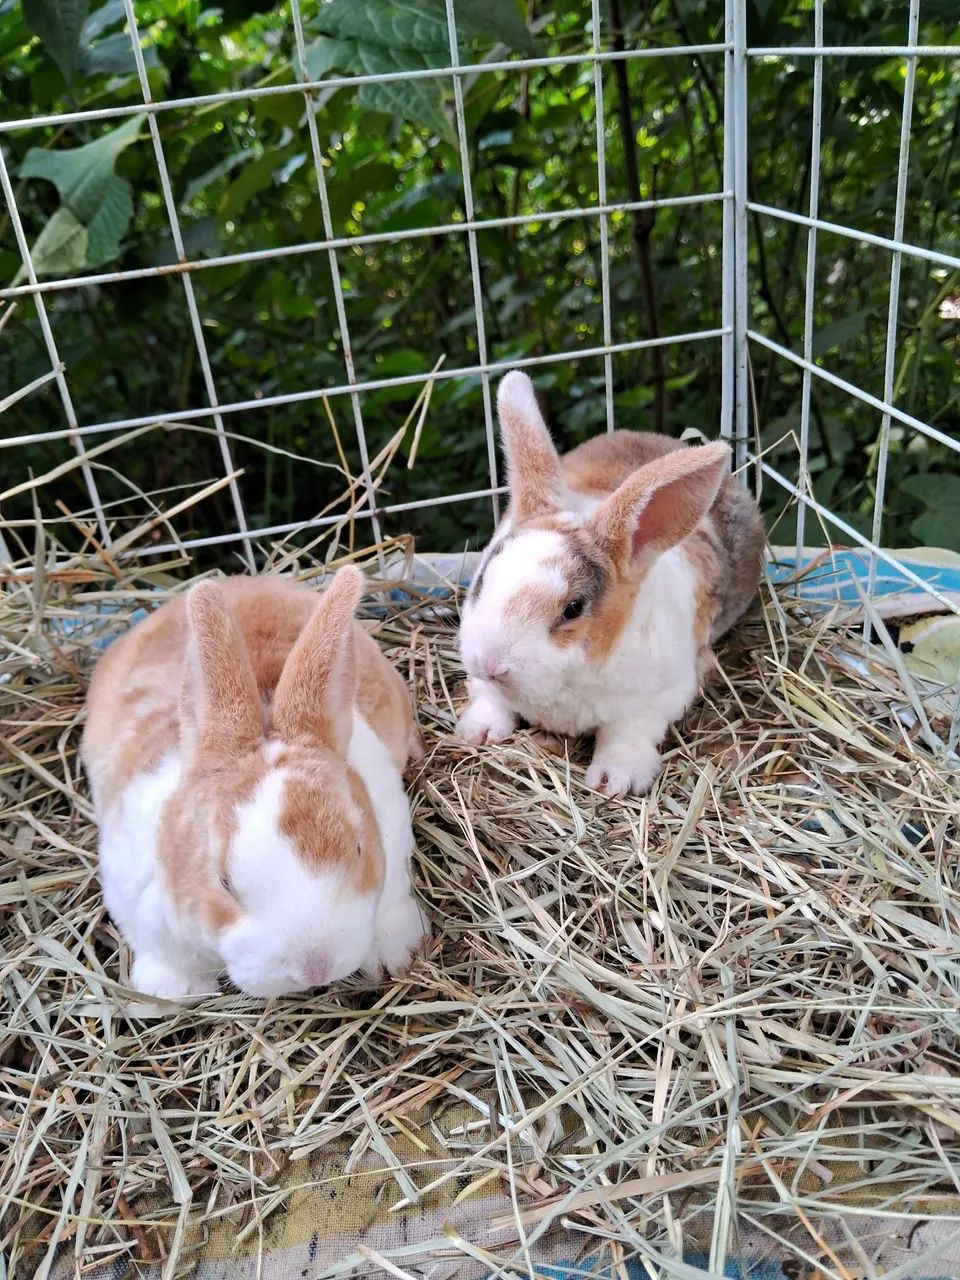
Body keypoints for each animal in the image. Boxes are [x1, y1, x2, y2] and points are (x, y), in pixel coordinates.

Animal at [81, 567, 429, 1000]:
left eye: (359, 848)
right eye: (223, 881)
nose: (315, 967)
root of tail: (243, 579)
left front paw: (391, 954)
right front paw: (171, 992)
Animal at [456, 370, 765, 797]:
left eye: (573, 609)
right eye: (483, 579)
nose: (490, 662)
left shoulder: (658, 699)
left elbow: (626, 734)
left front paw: (615, 780)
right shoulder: (482, 679)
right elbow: (490, 698)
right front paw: (477, 732)